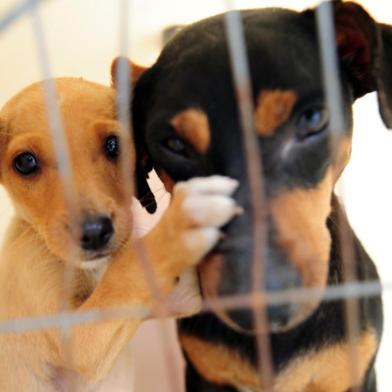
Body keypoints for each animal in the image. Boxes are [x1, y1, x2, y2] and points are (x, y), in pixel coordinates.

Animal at [0, 78, 239, 390]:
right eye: (25, 163)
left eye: (114, 145)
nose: (94, 233)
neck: (93, 270)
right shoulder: (75, 337)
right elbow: (126, 270)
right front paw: (180, 224)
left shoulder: (182, 295)